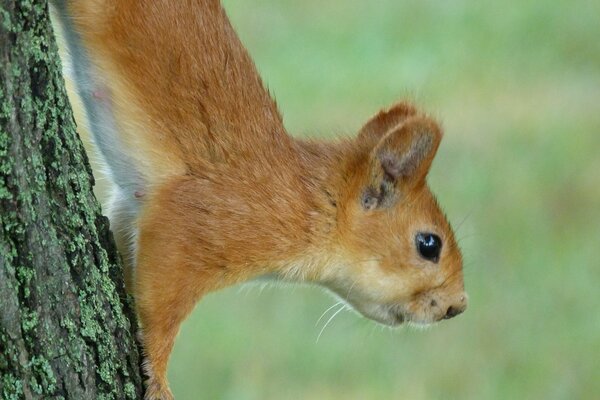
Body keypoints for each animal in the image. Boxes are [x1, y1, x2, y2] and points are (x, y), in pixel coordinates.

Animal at [50, 1, 468, 398]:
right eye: (429, 244)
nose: (457, 306)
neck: (312, 203)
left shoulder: (131, 208)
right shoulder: (196, 221)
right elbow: (159, 310)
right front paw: (159, 379)